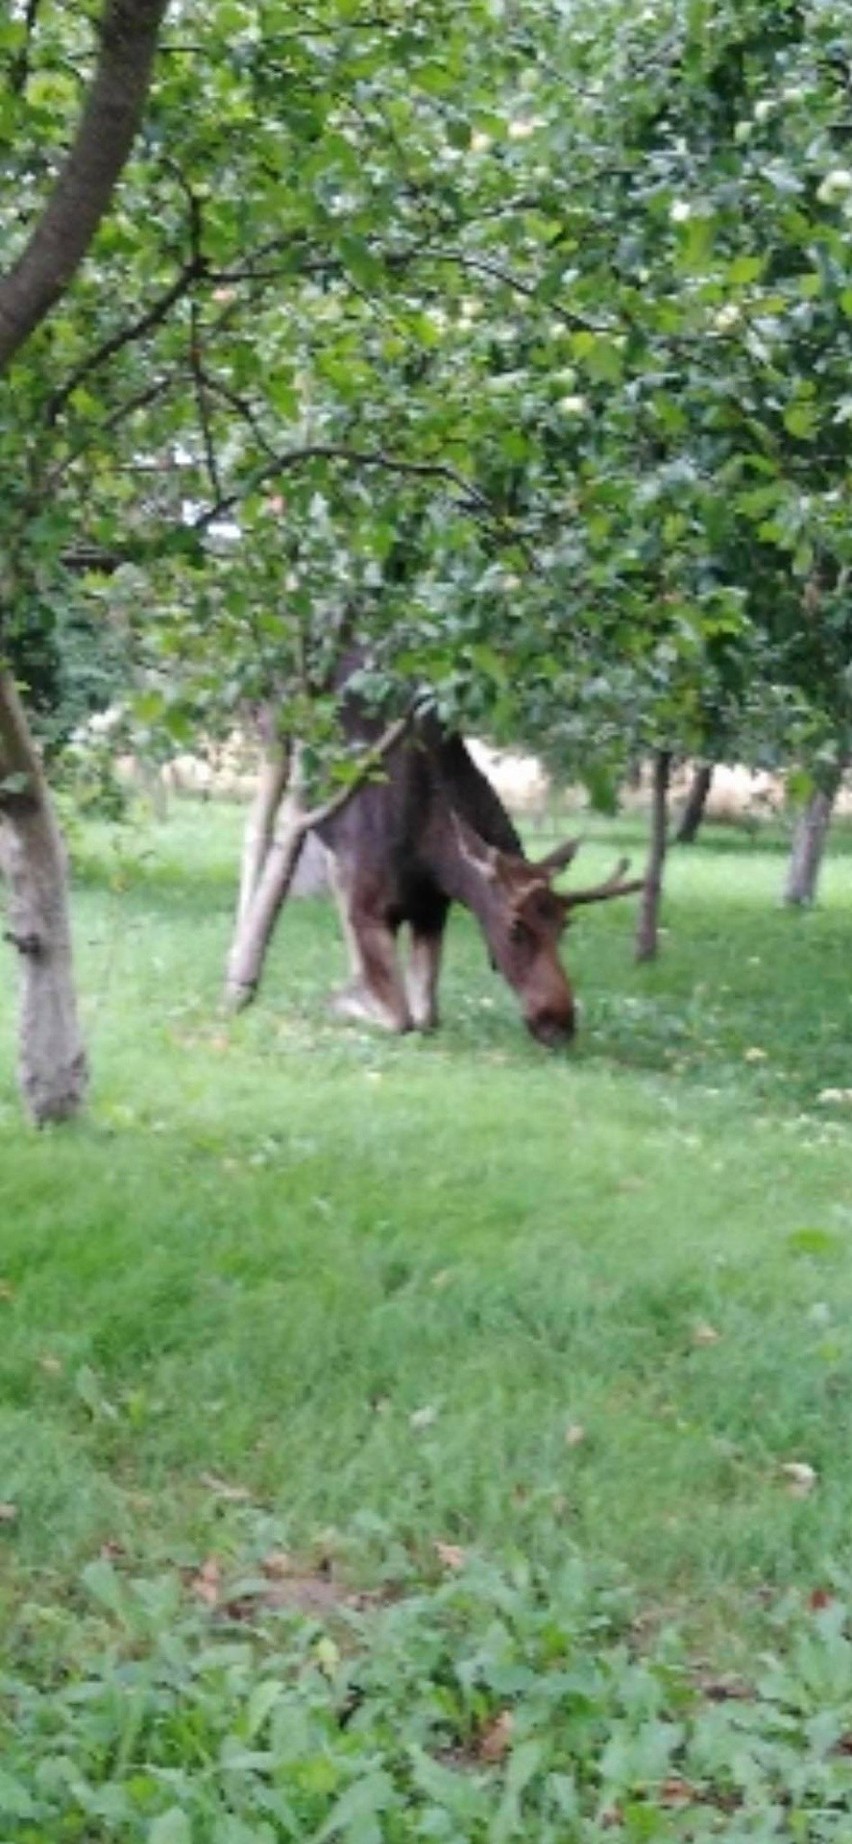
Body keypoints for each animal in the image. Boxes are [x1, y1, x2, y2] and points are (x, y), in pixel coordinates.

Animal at [315, 689, 645, 1047]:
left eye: (564, 927)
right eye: (515, 928)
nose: (560, 1027)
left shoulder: (431, 910)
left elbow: (426, 1017)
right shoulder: (368, 908)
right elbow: (400, 1020)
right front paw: (348, 1001)